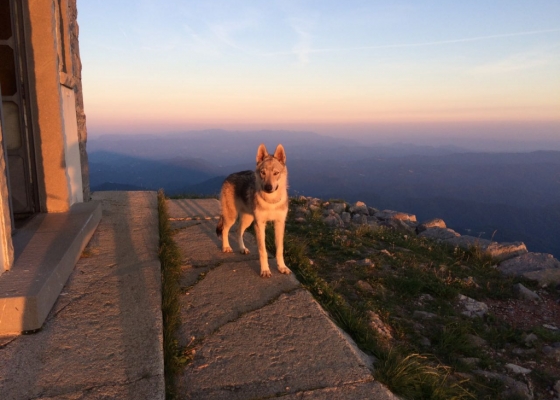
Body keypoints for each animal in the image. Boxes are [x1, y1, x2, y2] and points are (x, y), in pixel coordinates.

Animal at [215, 144, 290, 278]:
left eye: (276, 173)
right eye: (263, 173)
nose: (268, 187)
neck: (270, 202)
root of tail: (229, 176)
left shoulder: (280, 224)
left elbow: (279, 249)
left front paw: (282, 267)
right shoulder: (259, 224)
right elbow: (263, 251)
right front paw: (265, 270)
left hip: (247, 219)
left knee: (238, 231)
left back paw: (242, 249)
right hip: (232, 217)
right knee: (225, 230)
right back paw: (226, 247)